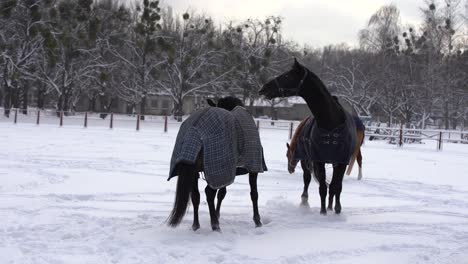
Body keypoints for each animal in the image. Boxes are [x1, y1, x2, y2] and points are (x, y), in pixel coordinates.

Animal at [260, 58, 358, 214]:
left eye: (287, 75)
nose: (263, 88)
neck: (331, 124)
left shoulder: (342, 162)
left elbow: (336, 187)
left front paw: (336, 209)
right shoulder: (318, 160)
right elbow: (323, 188)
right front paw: (323, 212)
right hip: (307, 160)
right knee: (307, 179)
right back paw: (305, 201)